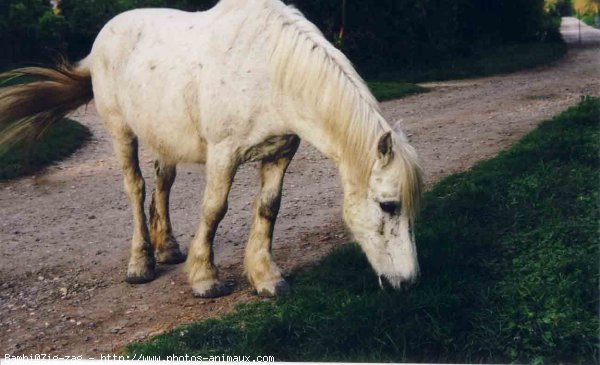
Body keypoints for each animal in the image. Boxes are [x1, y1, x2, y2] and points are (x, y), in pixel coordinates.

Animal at [0, 0, 422, 298]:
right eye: (388, 205)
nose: (408, 281)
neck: (270, 70)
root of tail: (103, 37)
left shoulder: (280, 153)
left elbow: (268, 208)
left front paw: (266, 277)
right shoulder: (224, 154)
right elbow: (214, 209)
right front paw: (205, 279)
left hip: (164, 136)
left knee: (163, 184)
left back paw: (168, 249)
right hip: (122, 133)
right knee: (136, 188)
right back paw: (141, 264)